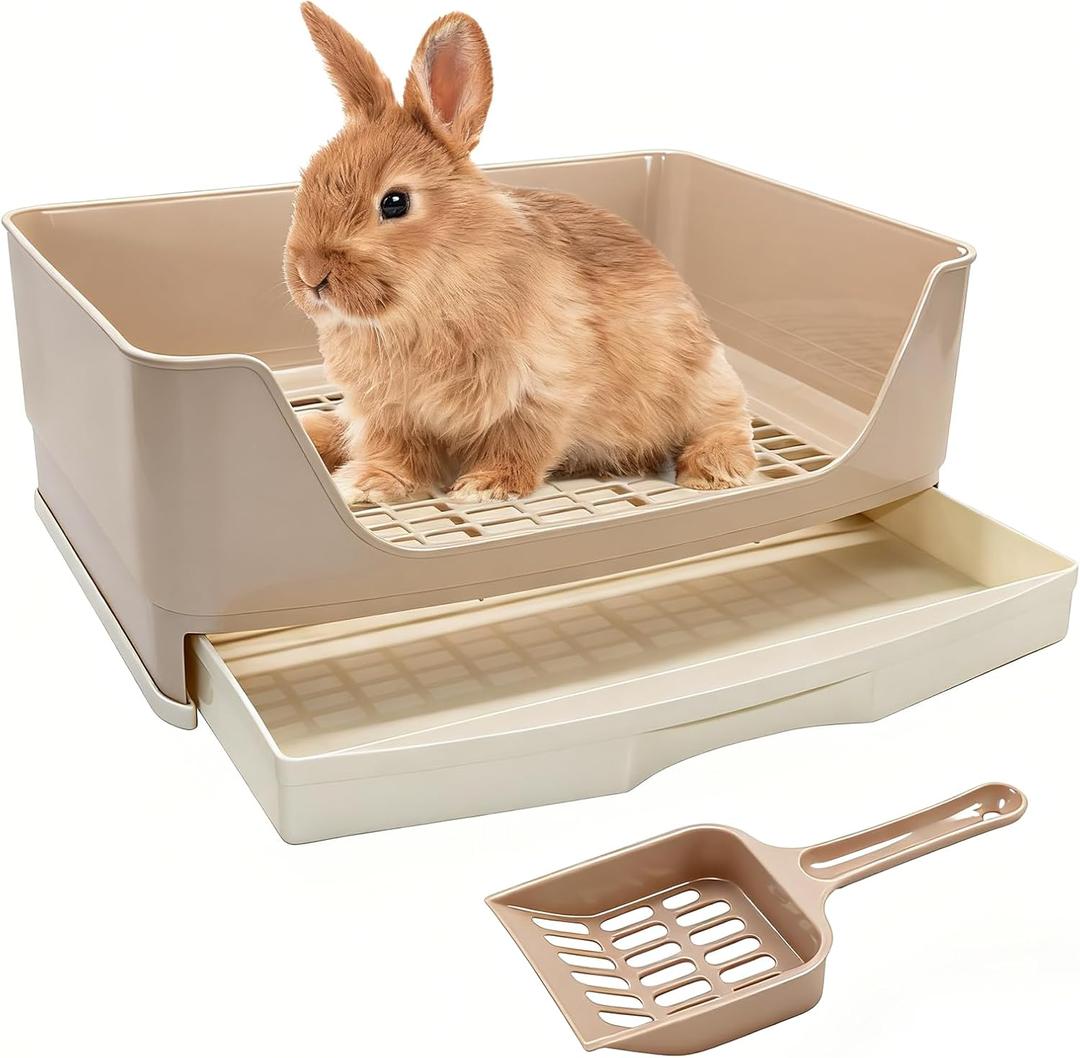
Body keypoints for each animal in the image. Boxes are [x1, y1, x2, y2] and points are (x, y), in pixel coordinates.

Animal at [285, 3, 757, 505]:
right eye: (307, 180)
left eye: (395, 202)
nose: (310, 274)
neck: (429, 294)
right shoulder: (389, 412)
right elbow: (396, 453)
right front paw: (370, 484)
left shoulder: (542, 393)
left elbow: (520, 445)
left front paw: (484, 487)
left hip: (700, 384)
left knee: (724, 422)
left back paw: (713, 472)